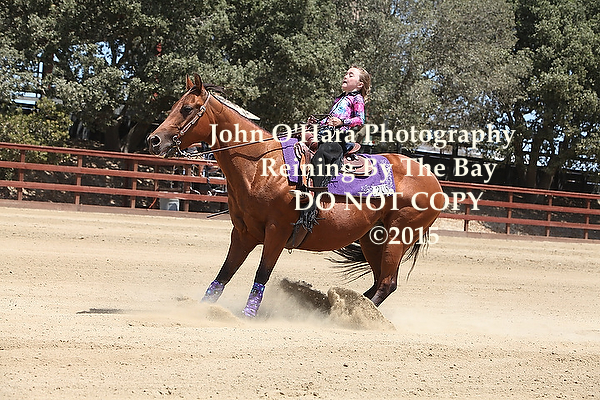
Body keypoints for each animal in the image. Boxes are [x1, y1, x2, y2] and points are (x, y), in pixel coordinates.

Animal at [147, 74, 444, 317]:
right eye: (173, 106)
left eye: (186, 108)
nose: (153, 140)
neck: (262, 165)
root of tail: (435, 183)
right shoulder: (243, 232)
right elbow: (225, 273)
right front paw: (202, 309)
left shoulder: (277, 231)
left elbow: (262, 272)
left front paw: (248, 315)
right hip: (373, 238)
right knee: (378, 282)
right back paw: (335, 308)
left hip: (397, 236)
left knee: (386, 284)